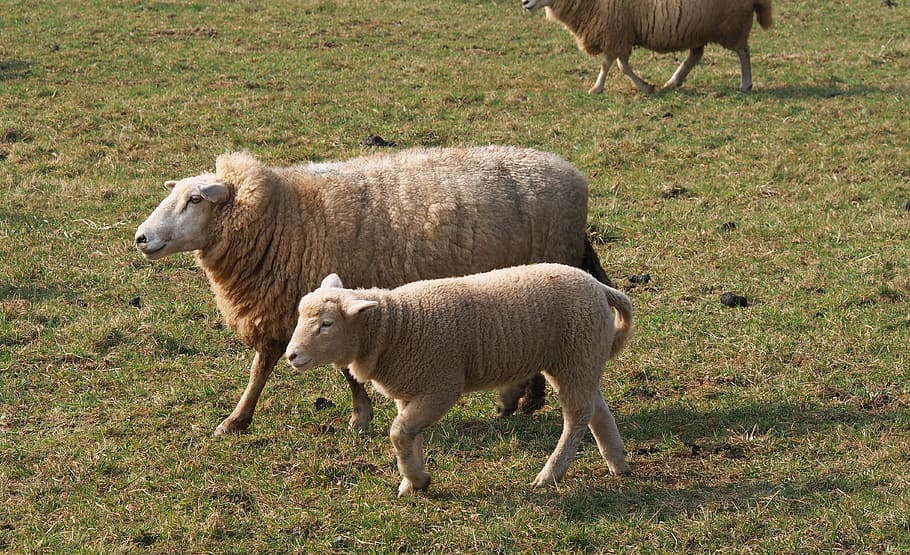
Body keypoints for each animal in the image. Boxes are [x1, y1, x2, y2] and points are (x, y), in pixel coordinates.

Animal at [134, 147, 615, 436]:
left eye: (196, 199)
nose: (141, 238)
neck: (284, 217)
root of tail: (571, 174)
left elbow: (340, 370)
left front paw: (359, 416)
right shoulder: (286, 308)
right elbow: (263, 367)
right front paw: (238, 419)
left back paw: (525, 399)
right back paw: (522, 399)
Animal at [285, 264, 633, 496]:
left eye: (327, 324)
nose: (291, 355)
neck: (395, 327)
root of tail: (599, 288)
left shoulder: (442, 385)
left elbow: (399, 432)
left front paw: (416, 479)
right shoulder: (411, 390)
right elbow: (410, 435)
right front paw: (412, 482)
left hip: (576, 356)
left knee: (577, 417)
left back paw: (550, 474)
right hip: (579, 359)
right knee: (596, 410)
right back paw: (618, 463)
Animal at [522, 0, 773, 93]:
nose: (524, 3)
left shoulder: (615, 30)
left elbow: (609, 64)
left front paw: (597, 88)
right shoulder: (620, 33)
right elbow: (622, 65)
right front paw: (645, 86)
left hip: (731, 24)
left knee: (743, 51)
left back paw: (746, 83)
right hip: (698, 29)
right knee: (695, 55)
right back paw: (673, 82)